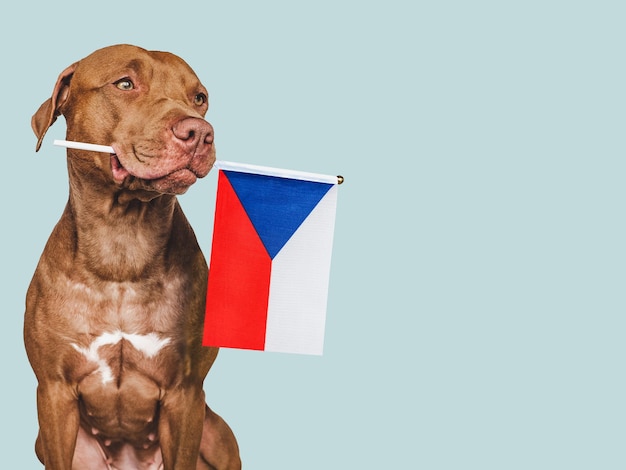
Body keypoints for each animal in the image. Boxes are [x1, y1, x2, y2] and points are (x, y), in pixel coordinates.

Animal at [25, 45, 239, 470]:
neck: (122, 246)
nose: (199, 133)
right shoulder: (54, 393)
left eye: (199, 98)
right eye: (125, 84)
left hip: (217, 434)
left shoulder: (186, 395)